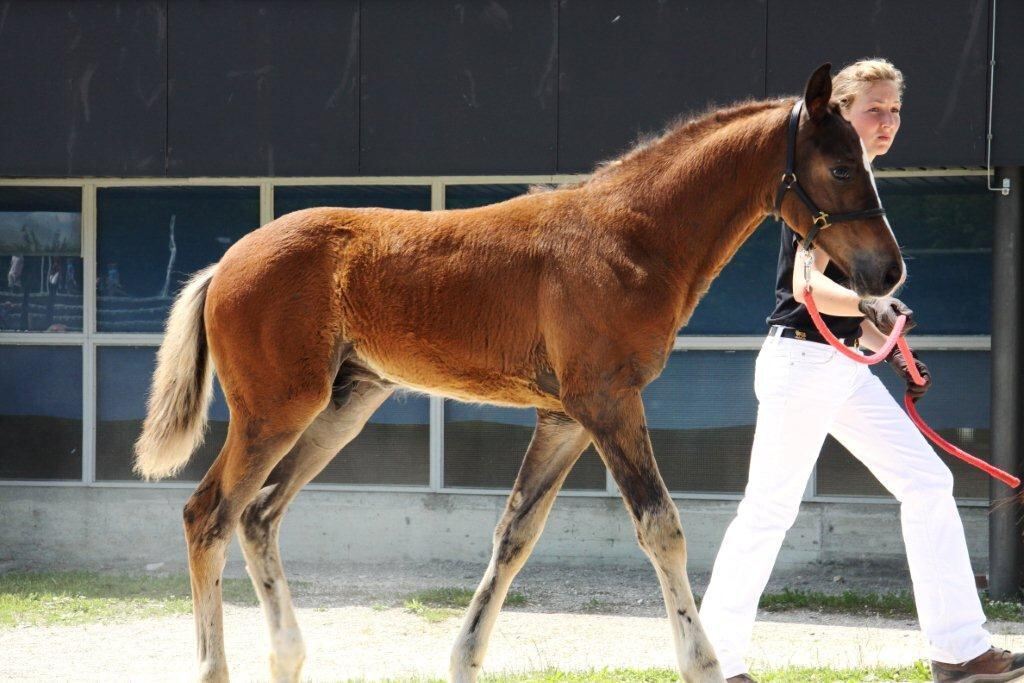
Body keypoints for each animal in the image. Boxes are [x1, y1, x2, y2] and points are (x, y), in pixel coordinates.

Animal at [136, 65, 905, 683]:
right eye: (843, 168)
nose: (889, 273)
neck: (631, 234)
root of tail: (226, 263)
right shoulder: (608, 402)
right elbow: (661, 526)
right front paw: (705, 664)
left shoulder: (565, 417)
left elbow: (515, 534)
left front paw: (463, 660)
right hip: (274, 409)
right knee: (208, 514)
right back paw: (217, 666)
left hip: (340, 406)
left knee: (259, 514)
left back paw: (289, 656)